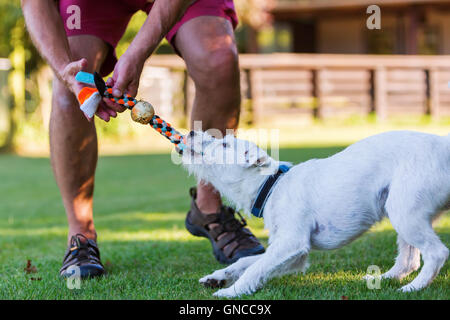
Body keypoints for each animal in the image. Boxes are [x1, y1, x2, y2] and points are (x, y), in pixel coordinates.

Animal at [181, 130, 448, 298]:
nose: (191, 133)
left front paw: (231, 291)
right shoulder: (292, 254)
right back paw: (388, 278)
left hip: (404, 212)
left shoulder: (292, 243)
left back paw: (413, 288)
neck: (271, 185)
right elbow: (247, 262)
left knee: (437, 253)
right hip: (402, 213)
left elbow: (255, 268)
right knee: (409, 259)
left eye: (225, 145)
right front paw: (218, 277)